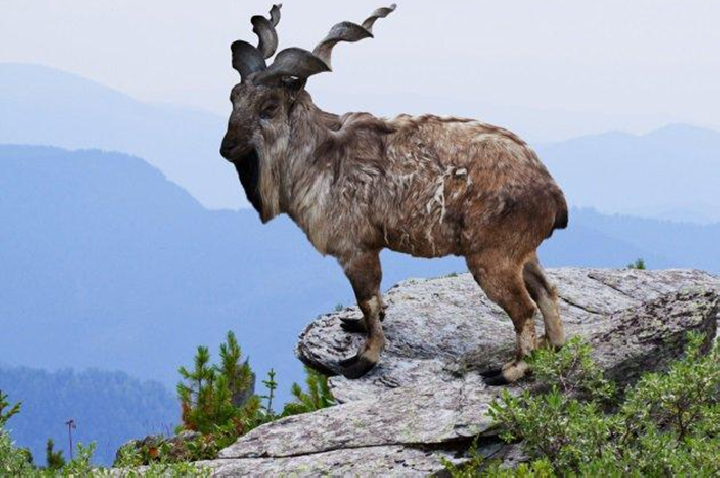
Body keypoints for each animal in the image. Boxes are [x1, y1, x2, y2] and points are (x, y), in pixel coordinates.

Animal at [219, 4, 568, 384]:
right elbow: (373, 303)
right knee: (546, 290)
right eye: (234, 96)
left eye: (269, 106)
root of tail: (552, 191)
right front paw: (357, 325)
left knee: (524, 307)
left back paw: (509, 370)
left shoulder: (355, 249)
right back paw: (553, 346)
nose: (227, 147)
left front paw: (363, 359)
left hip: (493, 257)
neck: (322, 155)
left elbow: (368, 299)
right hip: (523, 251)